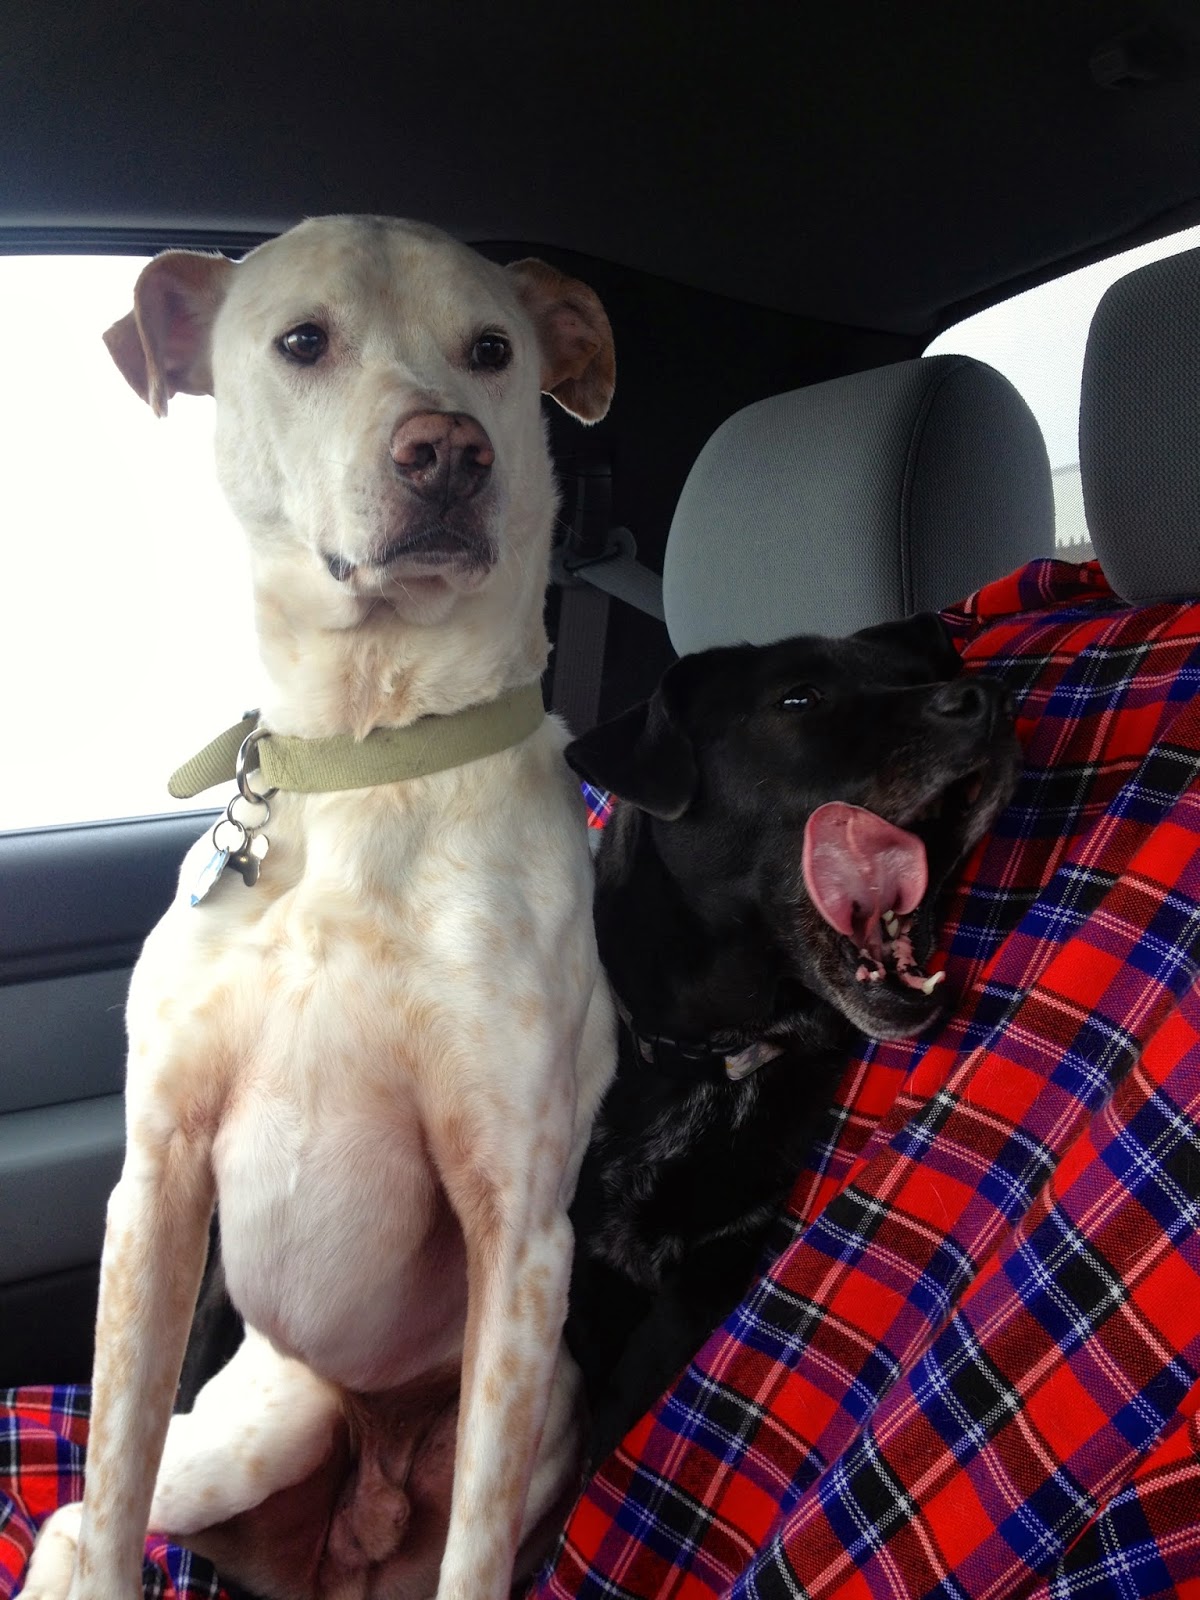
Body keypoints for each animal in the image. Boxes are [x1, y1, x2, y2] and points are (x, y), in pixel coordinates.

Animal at [24, 216, 618, 1600]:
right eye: (303, 340)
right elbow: (107, 1490)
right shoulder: (157, 1183)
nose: (450, 450)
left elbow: (474, 1562)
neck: (371, 753)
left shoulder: (521, 1236)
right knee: (78, 1518)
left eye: (493, 349)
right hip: (252, 1427)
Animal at [562, 615, 1020, 1461]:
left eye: (919, 673)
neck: (716, 1060)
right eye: (799, 698)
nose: (990, 698)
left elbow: (615, 1416)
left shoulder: (711, 1273)